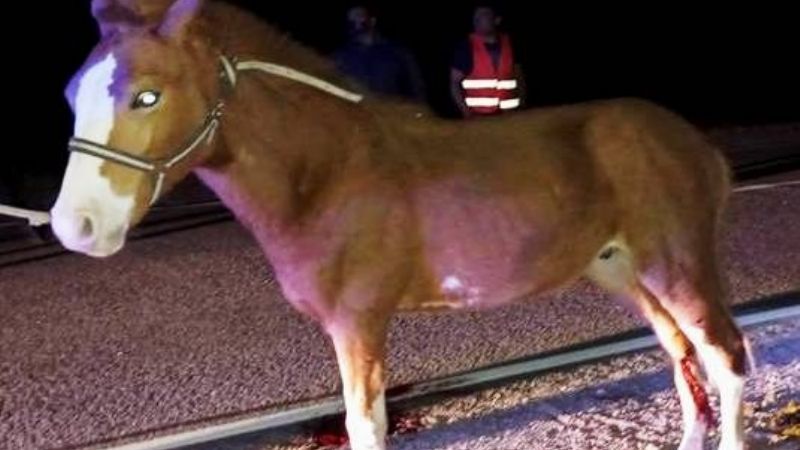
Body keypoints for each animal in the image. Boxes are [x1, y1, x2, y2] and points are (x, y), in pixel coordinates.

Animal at [50, 1, 749, 449]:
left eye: (147, 95)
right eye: (72, 93)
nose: (73, 226)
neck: (326, 174)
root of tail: (695, 142)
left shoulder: (357, 322)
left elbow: (364, 426)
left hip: (676, 263)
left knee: (726, 356)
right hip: (624, 272)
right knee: (681, 352)